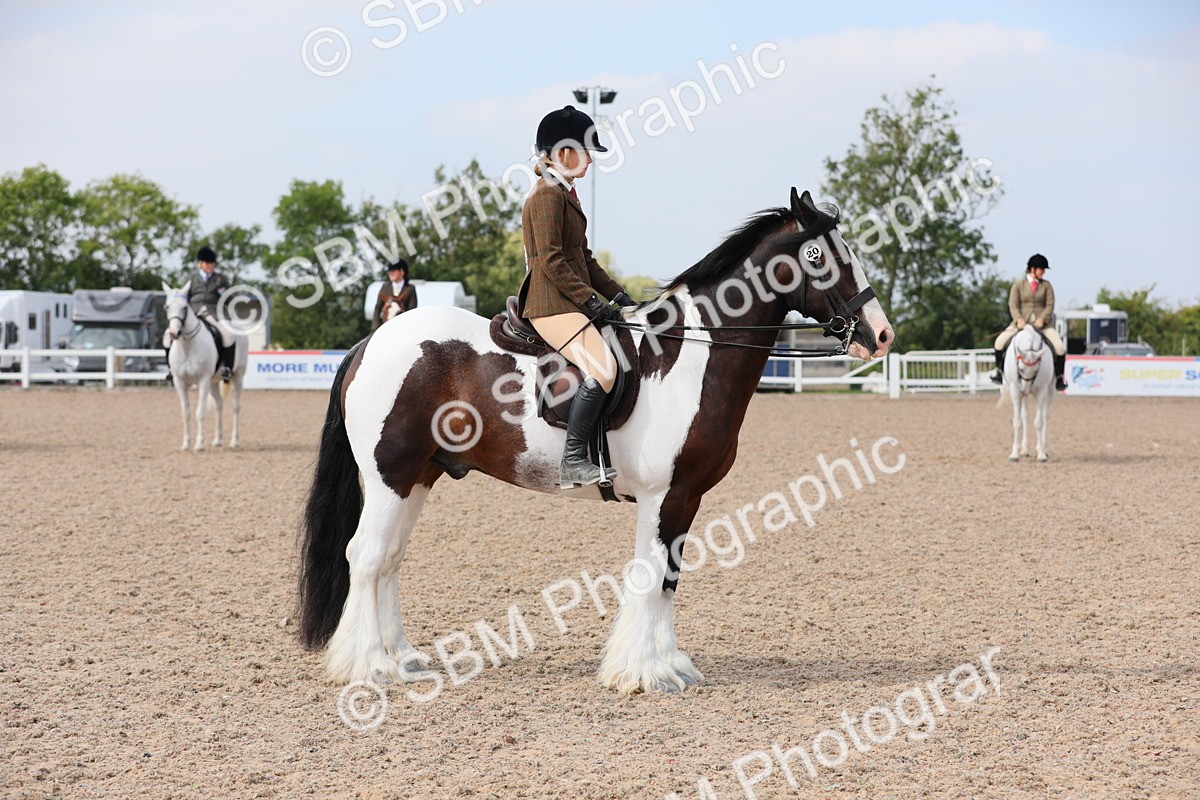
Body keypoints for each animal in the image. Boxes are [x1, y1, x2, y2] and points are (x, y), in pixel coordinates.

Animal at [162, 283, 248, 452]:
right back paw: (217, 440)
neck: (187, 346)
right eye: (167, 307)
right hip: (213, 382)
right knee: (219, 405)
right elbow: (186, 412)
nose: (174, 333)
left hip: (238, 377)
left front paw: (199, 444)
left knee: (236, 407)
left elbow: (200, 412)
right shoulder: (179, 382)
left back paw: (234, 441)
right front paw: (186, 444)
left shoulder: (202, 381)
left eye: (184, 307)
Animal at [297, 189, 895, 694]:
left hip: (418, 475)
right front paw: (643, 673)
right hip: (390, 476)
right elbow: (651, 574)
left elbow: (670, 577)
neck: (693, 355)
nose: (881, 335)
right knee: (367, 556)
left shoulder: (687, 496)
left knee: (389, 559)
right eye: (820, 256)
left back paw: (400, 657)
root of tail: (372, 342)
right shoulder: (663, 495)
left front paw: (669, 666)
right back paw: (369, 666)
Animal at [1000, 325, 1053, 462]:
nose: (1024, 390)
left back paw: (1044, 449)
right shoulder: (1015, 391)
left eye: (1036, 370)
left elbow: (1039, 422)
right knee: (1025, 417)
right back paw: (1024, 450)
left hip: (1050, 391)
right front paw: (1014, 454)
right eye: (1021, 369)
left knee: (1045, 416)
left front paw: (1041, 454)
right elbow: (1017, 422)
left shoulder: (1041, 391)